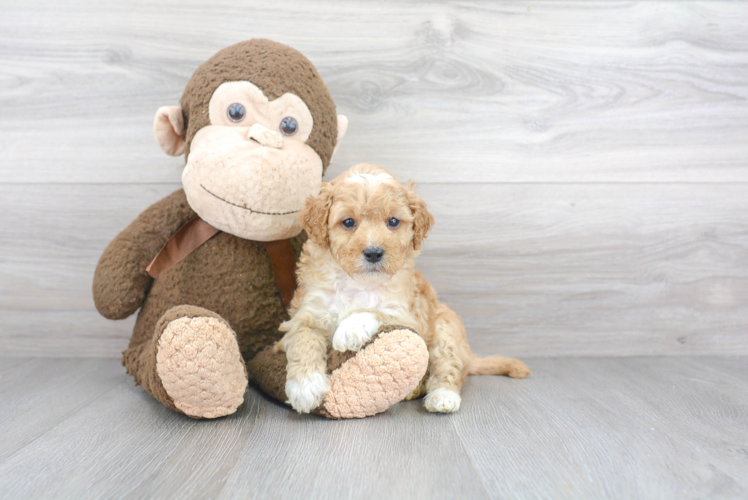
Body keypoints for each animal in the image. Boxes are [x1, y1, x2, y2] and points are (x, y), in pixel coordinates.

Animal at [278, 164, 528, 414]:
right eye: (348, 222)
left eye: (393, 222)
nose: (374, 253)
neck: (357, 282)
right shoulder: (307, 312)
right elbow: (302, 339)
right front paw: (305, 388)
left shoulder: (407, 315)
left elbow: (374, 310)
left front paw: (350, 328)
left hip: (446, 328)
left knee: (448, 366)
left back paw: (442, 396)